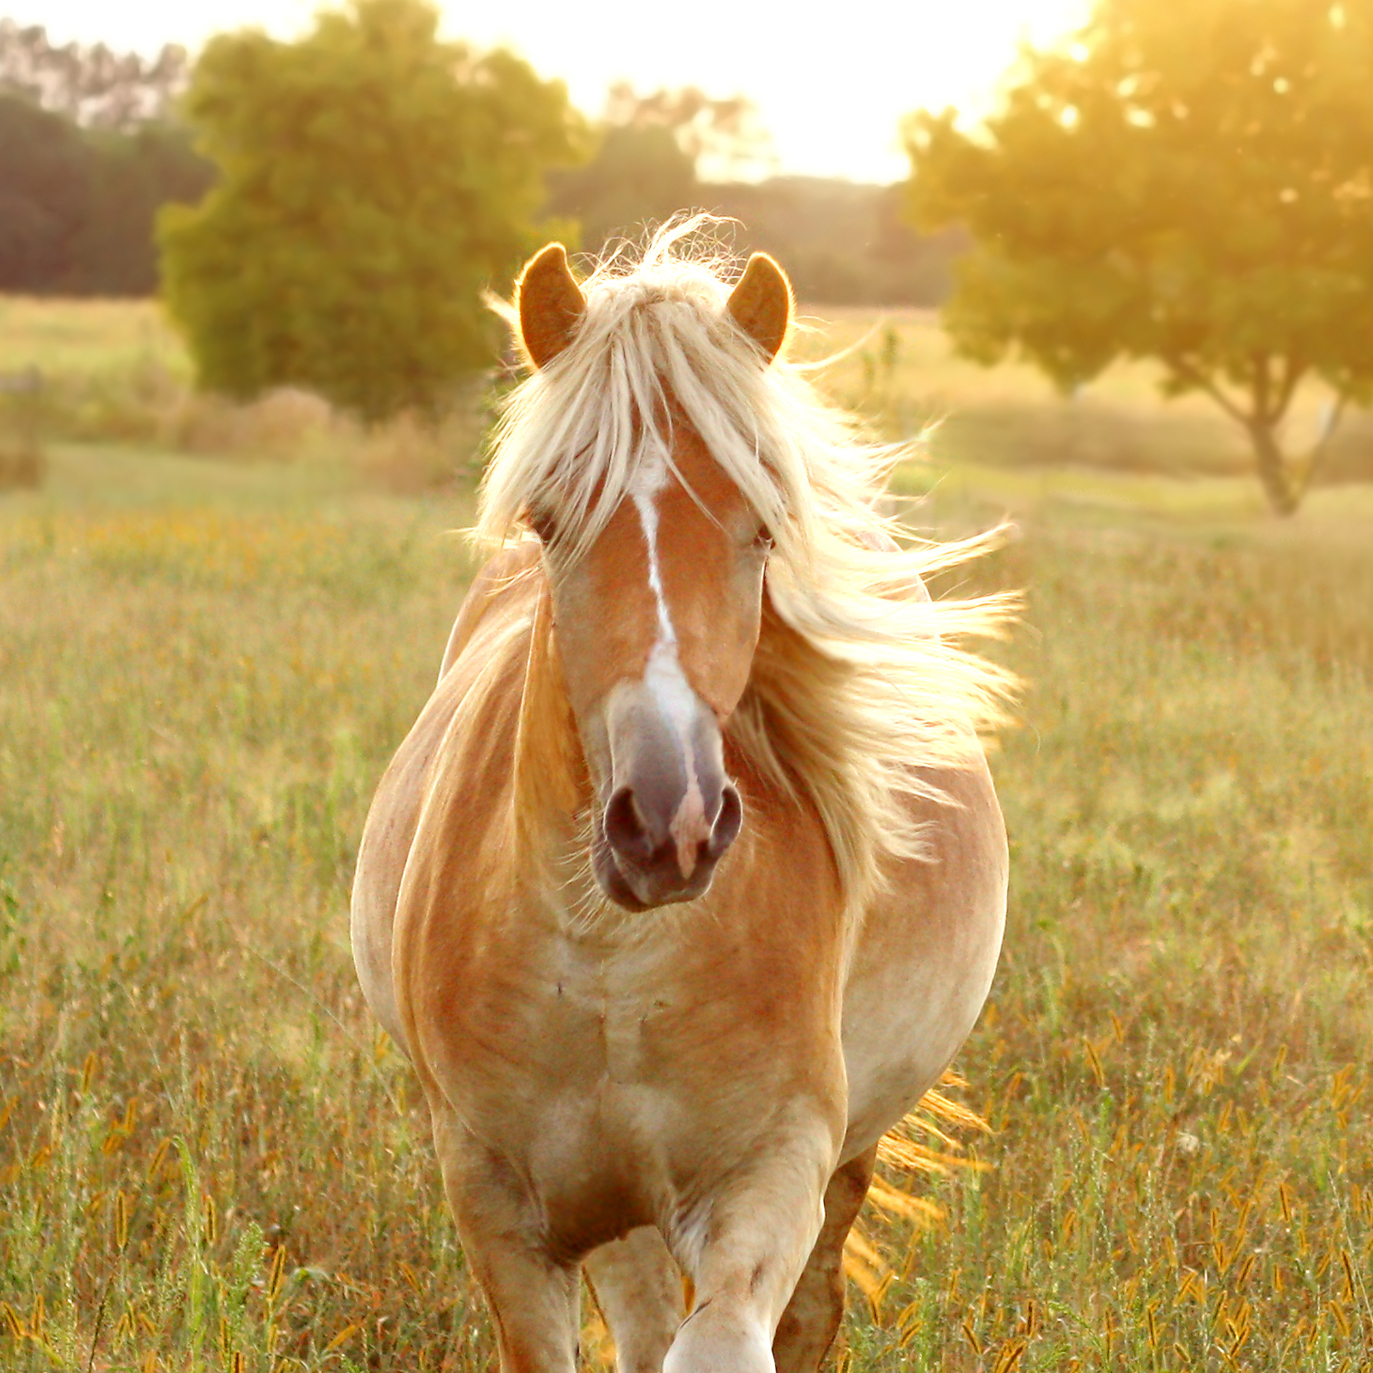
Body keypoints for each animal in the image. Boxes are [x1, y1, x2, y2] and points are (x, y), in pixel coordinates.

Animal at [351, 219, 1021, 1367]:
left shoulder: (773, 1170)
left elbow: (720, 1341)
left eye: (760, 528)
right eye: (549, 520)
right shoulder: (498, 1207)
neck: (609, 958)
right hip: (610, 1204)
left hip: (845, 1151)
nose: (670, 826)